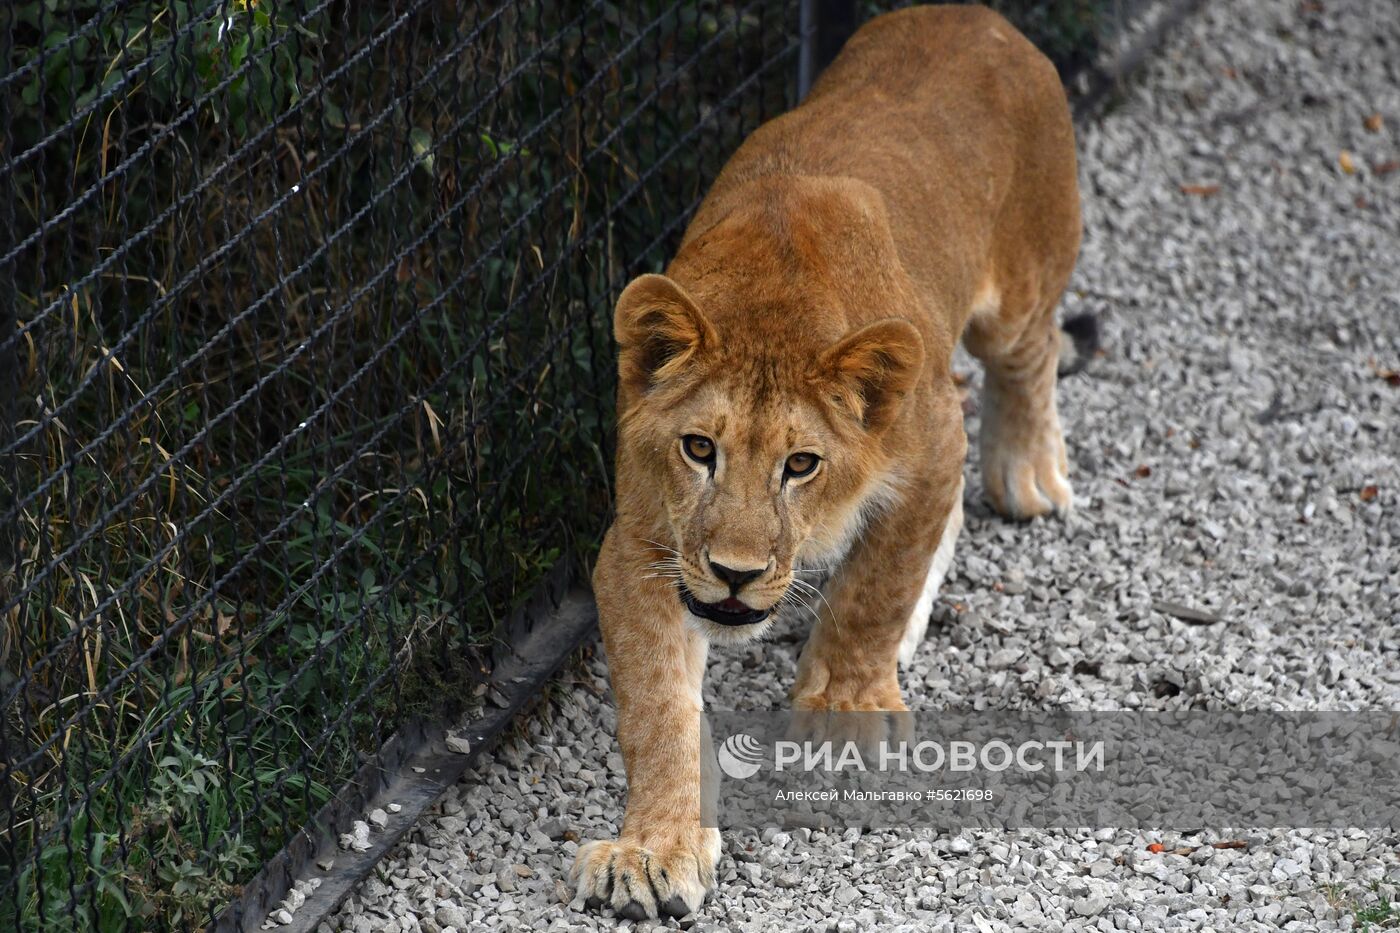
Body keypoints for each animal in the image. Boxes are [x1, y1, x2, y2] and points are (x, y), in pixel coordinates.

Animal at [568, 5, 1092, 913]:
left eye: (801, 464)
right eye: (699, 448)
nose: (735, 572)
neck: (771, 301)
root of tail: (976, 16)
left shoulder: (928, 442)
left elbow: (876, 584)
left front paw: (845, 705)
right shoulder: (641, 545)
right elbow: (657, 705)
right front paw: (654, 847)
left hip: (1020, 287)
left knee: (1027, 358)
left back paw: (1028, 473)